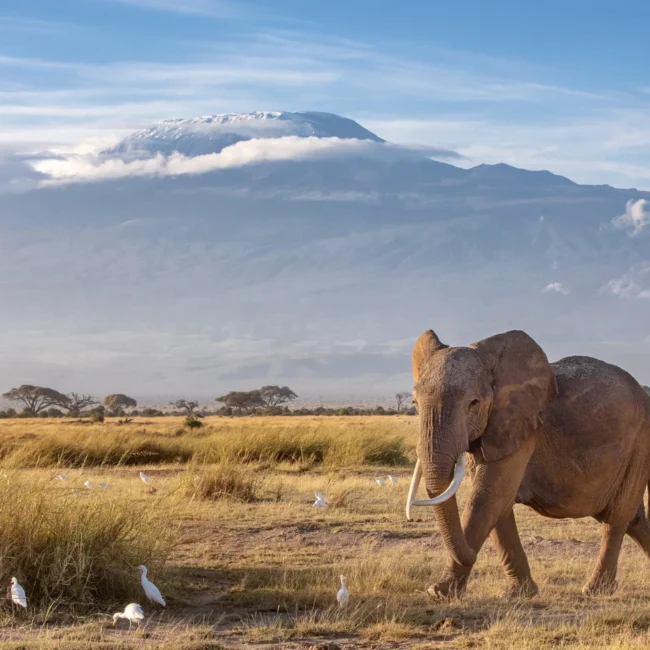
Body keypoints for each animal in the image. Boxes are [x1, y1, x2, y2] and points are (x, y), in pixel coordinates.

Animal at [405, 328, 650, 599]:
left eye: (473, 403)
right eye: (415, 404)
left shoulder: (523, 428)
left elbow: (488, 498)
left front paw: (439, 592)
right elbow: (500, 506)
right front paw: (521, 593)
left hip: (640, 442)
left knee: (616, 518)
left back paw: (594, 590)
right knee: (635, 520)